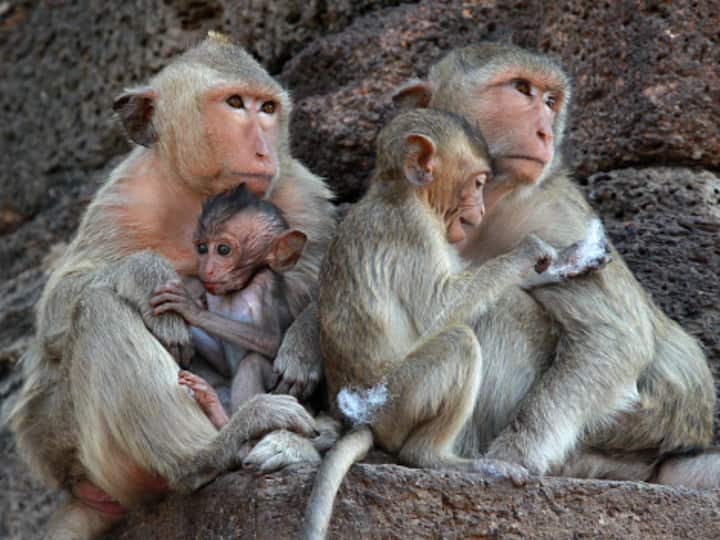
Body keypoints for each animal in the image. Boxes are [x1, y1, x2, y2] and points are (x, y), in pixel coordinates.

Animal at [150, 183, 309, 413]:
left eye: (223, 250)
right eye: (202, 248)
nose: (206, 269)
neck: (237, 290)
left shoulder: (264, 285)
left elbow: (269, 341)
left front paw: (190, 308)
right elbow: (223, 364)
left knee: (252, 362)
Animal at [301, 108, 612, 540]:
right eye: (478, 182)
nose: (479, 212)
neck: (402, 192)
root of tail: (359, 419)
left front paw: (562, 261)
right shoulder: (413, 230)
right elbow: (440, 307)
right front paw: (530, 251)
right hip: (393, 402)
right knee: (458, 343)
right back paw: (435, 457)